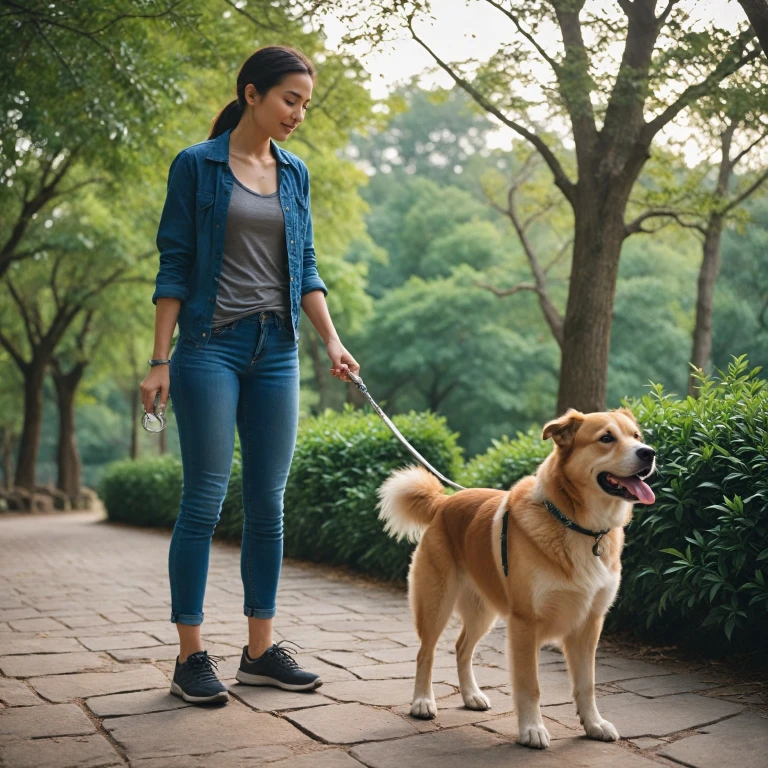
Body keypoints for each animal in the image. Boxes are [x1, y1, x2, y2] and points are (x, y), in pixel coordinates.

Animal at [376, 408, 656, 752]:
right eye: (606, 438)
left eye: (637, 436)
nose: (649, 453)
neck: (576, 525)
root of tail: (444, 502)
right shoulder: (525, 624)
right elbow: (530, 685)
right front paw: (532, 730)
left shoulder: (589, 624)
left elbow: (586, 684)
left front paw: (594, 725)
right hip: (436, 605)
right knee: (424, 653)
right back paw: (422, 702)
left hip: (483, 613)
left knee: (461, 648)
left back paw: (471, 696)